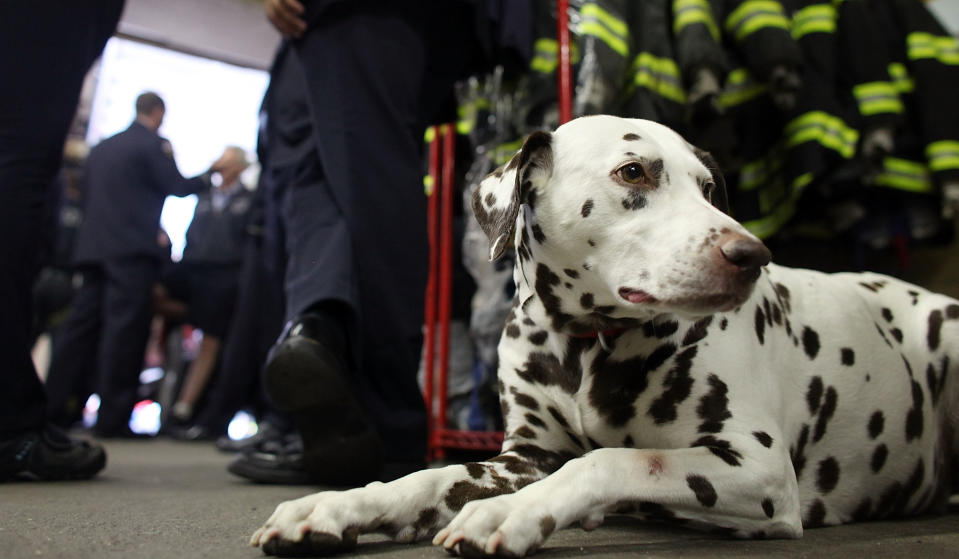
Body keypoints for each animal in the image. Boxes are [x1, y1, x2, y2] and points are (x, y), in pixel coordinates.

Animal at [249, 116, 959, 556]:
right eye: (633, 173)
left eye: (708, 188)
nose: (752, 255)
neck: (583, 346)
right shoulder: (520, 459)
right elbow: (428, 478)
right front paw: (337, 506)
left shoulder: (757, 471)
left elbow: (610, 460)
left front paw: (511, 515)